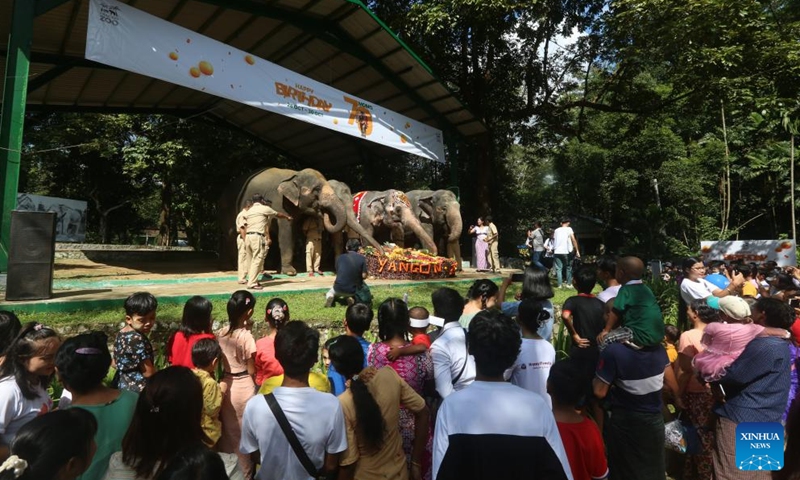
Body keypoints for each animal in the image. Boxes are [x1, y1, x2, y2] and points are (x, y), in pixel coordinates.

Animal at [217, 168, 348, 274]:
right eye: (317, 189)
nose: (322, 210)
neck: (295, 174)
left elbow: (293, 233)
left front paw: (284, 269)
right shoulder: (280, 202)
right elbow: (286, 232)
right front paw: (290, 272)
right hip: (225, 209)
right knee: (230, 235)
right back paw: (232, 268)